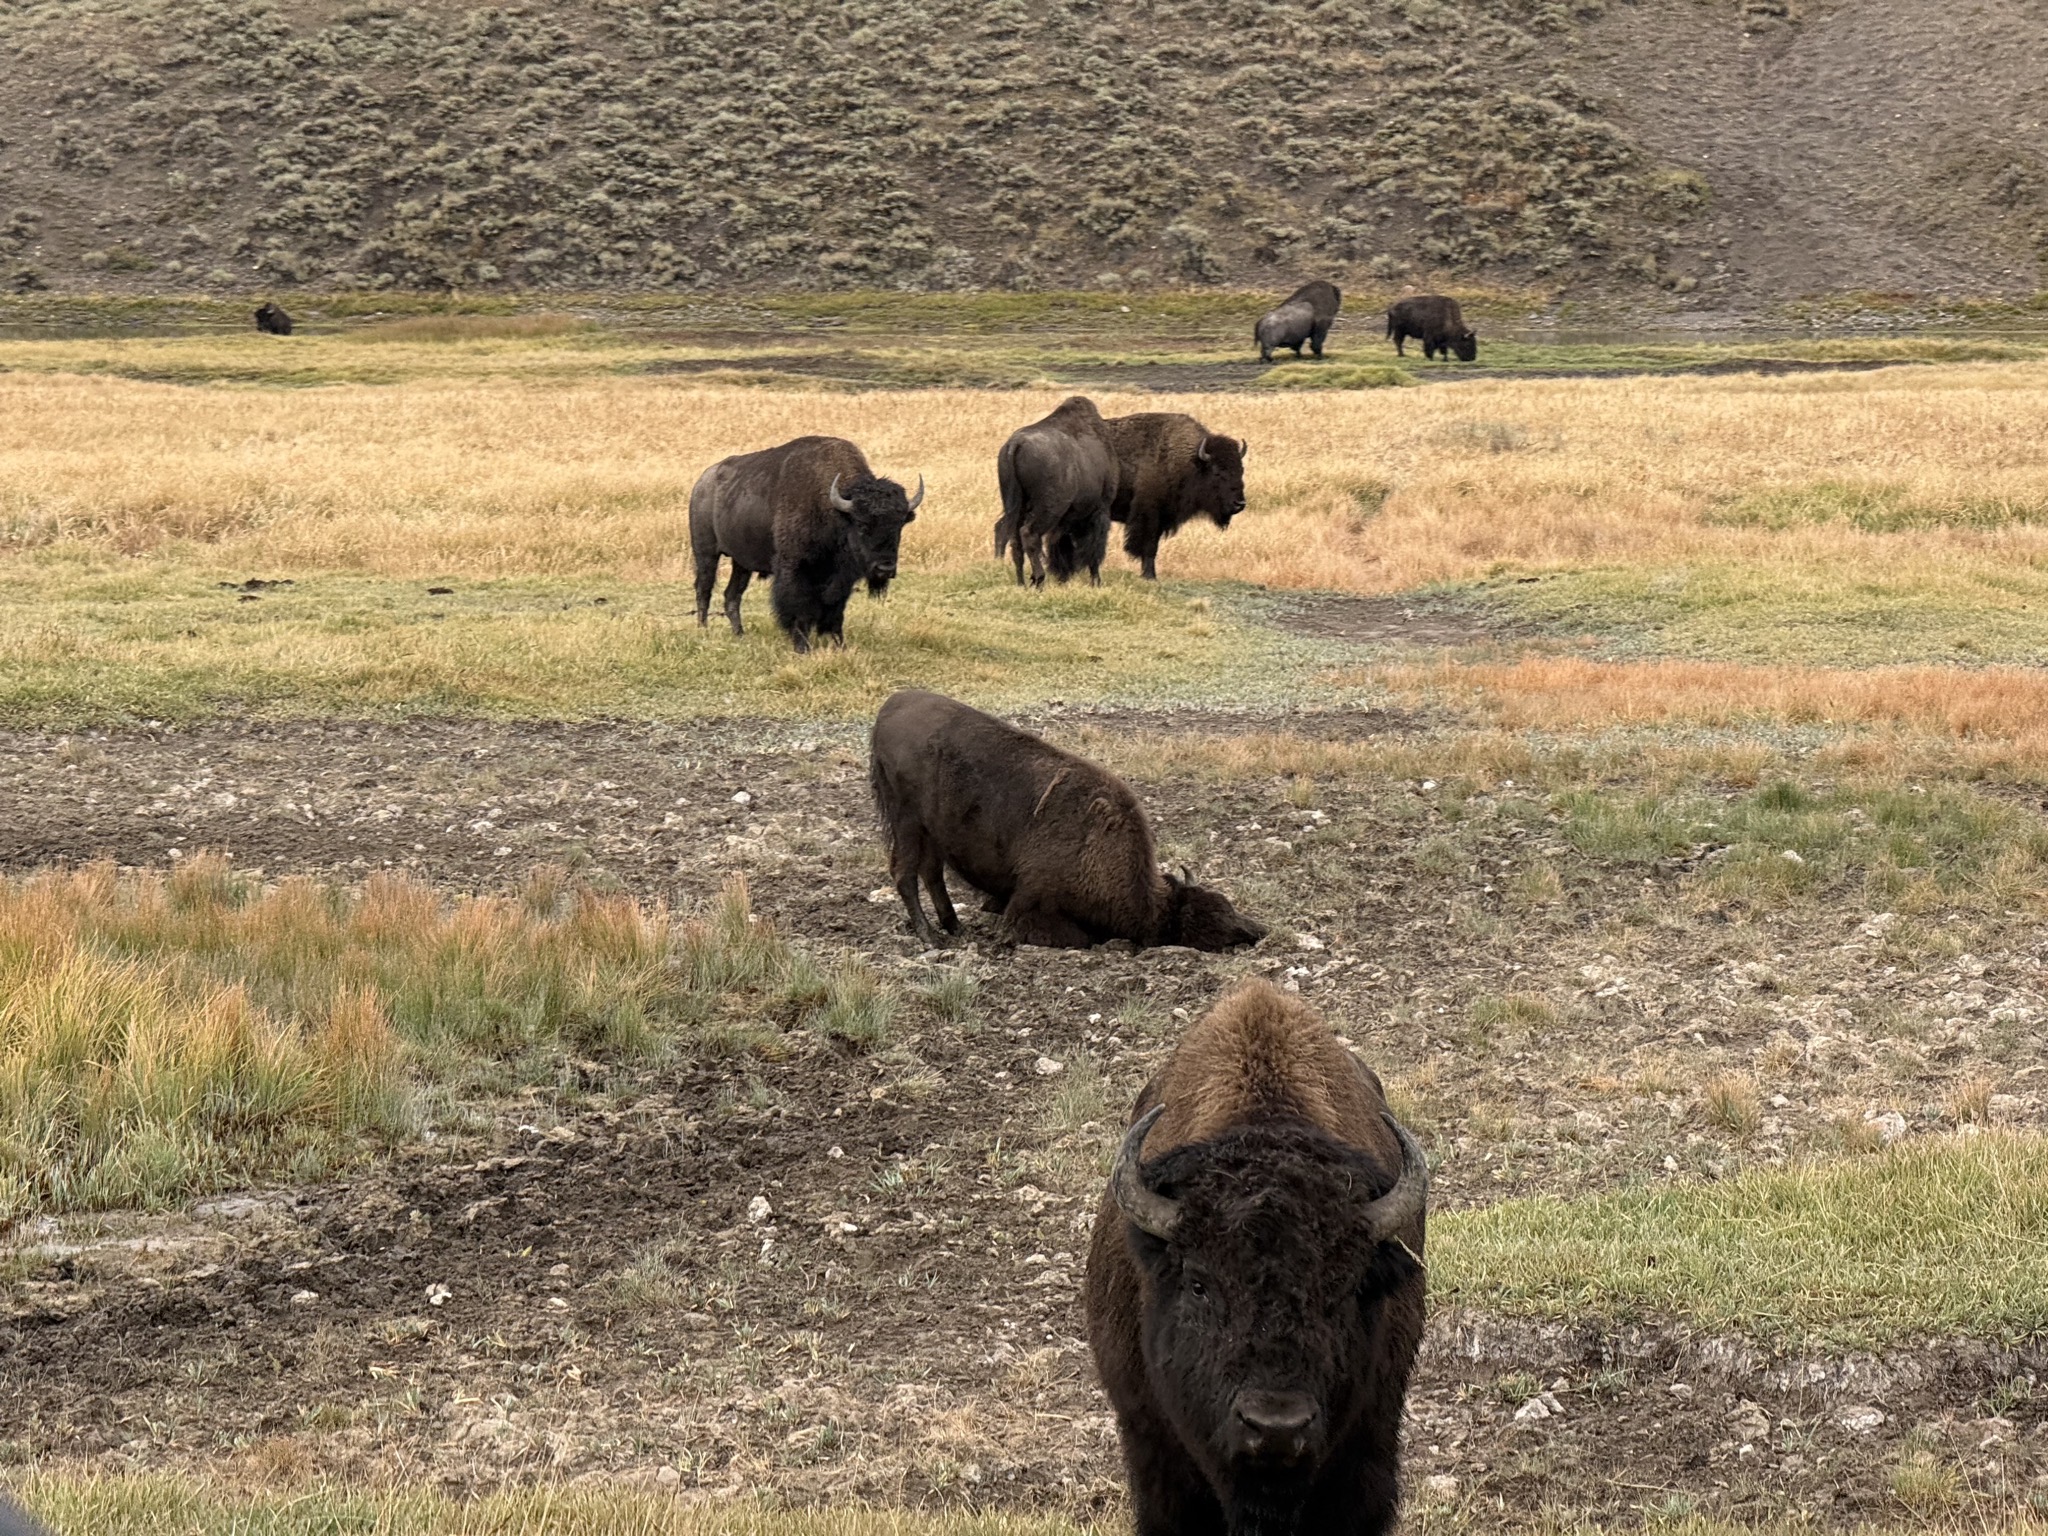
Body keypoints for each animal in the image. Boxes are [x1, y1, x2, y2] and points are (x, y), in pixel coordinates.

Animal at [690, 436, 922, 653]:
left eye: (899, 524)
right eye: (862, 524)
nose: (885, 568)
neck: (833, 511)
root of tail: (702, 483)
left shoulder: (840, 579)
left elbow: (835, 610)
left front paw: (839, 644)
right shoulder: (795, 569)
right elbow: (798, 606)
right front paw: (802, 646)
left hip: (741, 564)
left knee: (732, 595)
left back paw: (740, 635)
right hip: (706, 553)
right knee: (704, 589)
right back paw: (703, 630)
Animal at [869, 688, 1265, 950]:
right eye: (1204, 930)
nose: (1255, 932)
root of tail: (891, 705)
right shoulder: (1032, 904)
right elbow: (1081, 938)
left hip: (931, 832)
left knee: (931, 874)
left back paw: (954, 927)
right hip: (907, 823)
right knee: (905, 874)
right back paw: (932, 938)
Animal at [994, 395, 1118, 587]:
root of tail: (1015, 444)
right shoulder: (1100, 510)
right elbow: (1094, 550)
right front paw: (1095, 581)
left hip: (1015, 505)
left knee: (1012, 538)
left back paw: (1021, 582)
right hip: (1049, 509)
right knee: (1028, 533)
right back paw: (1039, 579)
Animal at [1103, 413, 1248, 581]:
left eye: (1241, 470)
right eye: (1217, 472)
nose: (1239, 503)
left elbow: (1153, 547)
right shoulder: (1148, 516)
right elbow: (1149, 546)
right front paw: (1149, 576)